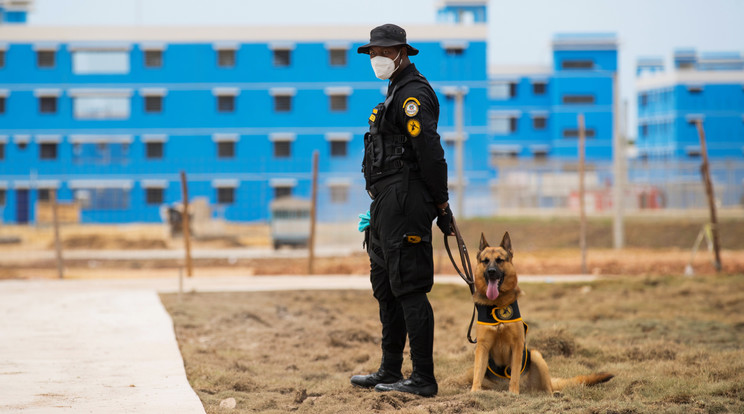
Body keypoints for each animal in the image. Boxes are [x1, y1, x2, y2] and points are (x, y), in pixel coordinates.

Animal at [468, 233, 612, 394]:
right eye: (485, 261)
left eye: (499, 260)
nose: (491, 271)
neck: (497, 303)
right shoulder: (482, 347)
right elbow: (478, 374)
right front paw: (474, 392)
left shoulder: (517, 345)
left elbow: (514, 375)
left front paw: (513, 394)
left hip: (537, 356)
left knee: (547, 388)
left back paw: (552, 394)